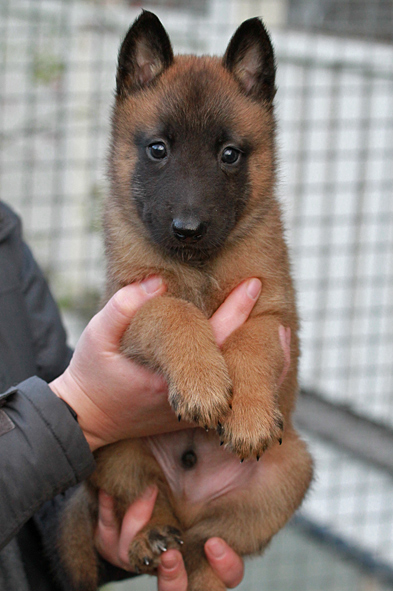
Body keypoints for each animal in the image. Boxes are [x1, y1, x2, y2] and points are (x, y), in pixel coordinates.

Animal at [59, 10, 312, 591]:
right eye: (158, 149)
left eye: (229, 154)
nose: (188, 228)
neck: (198, 266)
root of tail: (189, 503)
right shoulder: (133, 301)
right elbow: (174, 312)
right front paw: (202, 382)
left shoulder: (273, 313)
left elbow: (250, 343)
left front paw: (247, 413)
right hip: (112, 452)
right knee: (146, 503)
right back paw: (150, 534)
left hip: (291, 472)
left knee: (209, 546)